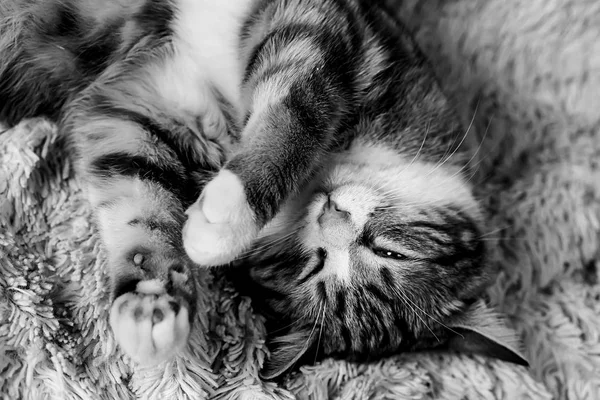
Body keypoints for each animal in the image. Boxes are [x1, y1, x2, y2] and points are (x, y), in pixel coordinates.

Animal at [0, 0, 524, 378]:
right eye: (391, 251)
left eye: (309, 266)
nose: (330, 215)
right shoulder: (325, 27)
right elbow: (297, 114)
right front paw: (231, 211)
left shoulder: (146, 113)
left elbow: (141, 199)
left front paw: (151, 304)